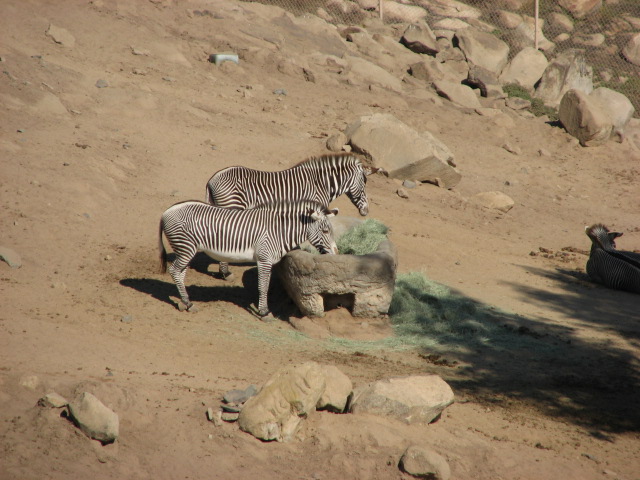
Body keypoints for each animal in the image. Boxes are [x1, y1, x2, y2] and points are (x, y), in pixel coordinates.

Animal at [158, 199, 339, 317]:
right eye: (325, 231)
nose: (336, 254)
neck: (278, 230)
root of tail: (166, 212)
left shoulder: (268, 261)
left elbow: (265, 286)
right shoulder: (264, 259)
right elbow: (263, 287)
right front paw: (264, 312)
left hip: (185, 249)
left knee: (180, 273)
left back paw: (185, 303)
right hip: (185, 247)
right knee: (174, 271)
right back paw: (187, 303)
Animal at [204, 152, 376, 277]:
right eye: (364, 183)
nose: (366, 211)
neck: (321, 184)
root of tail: (212, 180)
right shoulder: (312, 210)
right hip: (232, 206)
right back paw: (225, 273)